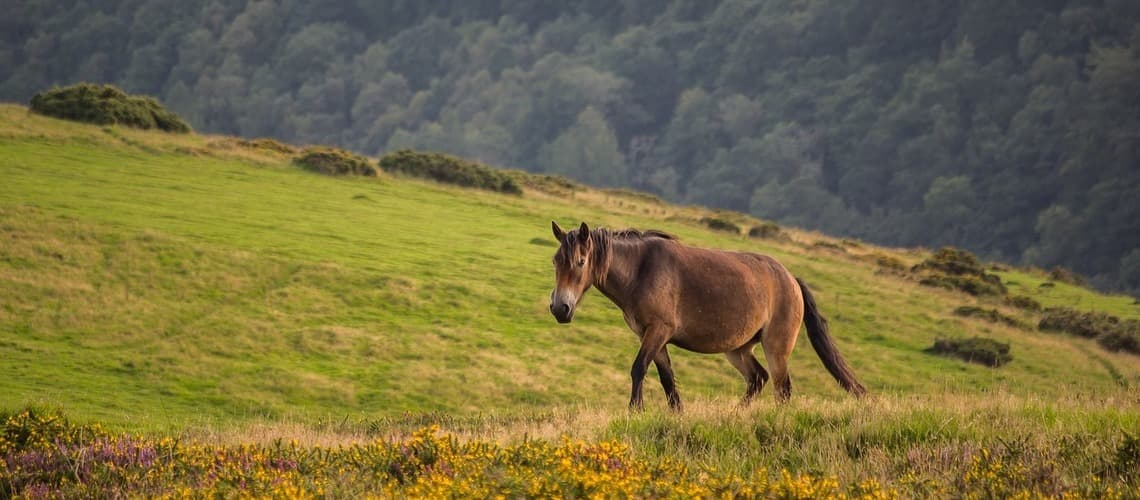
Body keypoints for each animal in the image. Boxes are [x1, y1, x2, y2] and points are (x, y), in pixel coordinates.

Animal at [549, 219, 861, 410]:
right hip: (738, 349)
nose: (560, 308)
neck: (641, 270)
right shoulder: (652, 336)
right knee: (757, 378)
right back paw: (737, 414)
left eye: (580, 261)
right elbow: (667, 379)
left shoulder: (658, 331)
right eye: (556, 261)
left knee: (781, 388)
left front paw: (635, 410)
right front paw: (676, 414)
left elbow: (639, 368)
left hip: (776, 347)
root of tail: (792, 280)